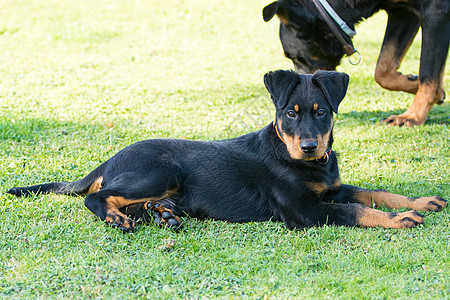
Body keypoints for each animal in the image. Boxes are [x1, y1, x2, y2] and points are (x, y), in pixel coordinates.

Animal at [7, 71, 446, 232]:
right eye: (290, 112)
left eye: (321, 112)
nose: (309, 147)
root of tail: (109, 160)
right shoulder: (303, 211)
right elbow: (357, 209)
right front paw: (402, 217)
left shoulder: (331, 188)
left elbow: (372, 191)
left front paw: (419, 201)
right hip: (160, 171)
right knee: (98, 197)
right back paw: (119, 217)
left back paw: (162, 214)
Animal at [262, 0, 448, 126]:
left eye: (296, 57)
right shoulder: (401, 12)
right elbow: (383, 70)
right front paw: (430, 89)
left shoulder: (436, 11)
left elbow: (428, 73)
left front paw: (413, 116)